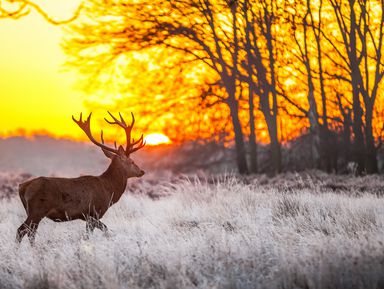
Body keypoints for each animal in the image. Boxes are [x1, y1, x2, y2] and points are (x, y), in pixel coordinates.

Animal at [16, 111, 146, 242]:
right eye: (131, 161)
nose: (142, 171)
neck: (109, 191)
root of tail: (22, 186)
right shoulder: (93, 213)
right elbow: (104, 230)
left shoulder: (88, 217)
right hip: (37, 210)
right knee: (22, 231)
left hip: (32, 211)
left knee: (30, 232)